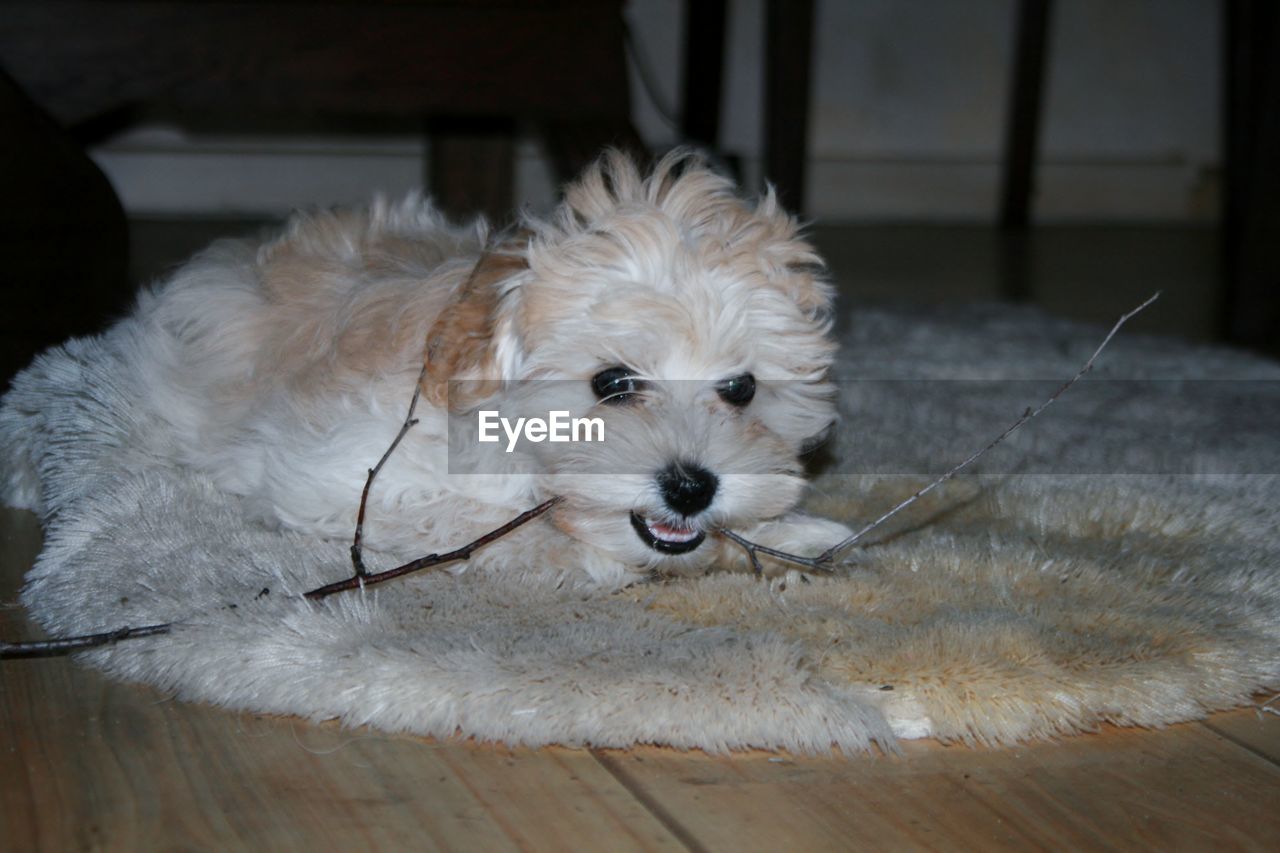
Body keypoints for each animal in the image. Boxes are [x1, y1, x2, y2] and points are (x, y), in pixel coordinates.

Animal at [72, 151, 849, 584]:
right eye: (613, 383)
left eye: (741, 389)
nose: (691, 487)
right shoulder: (339, 476)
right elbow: (487, 521)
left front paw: (795, 535)